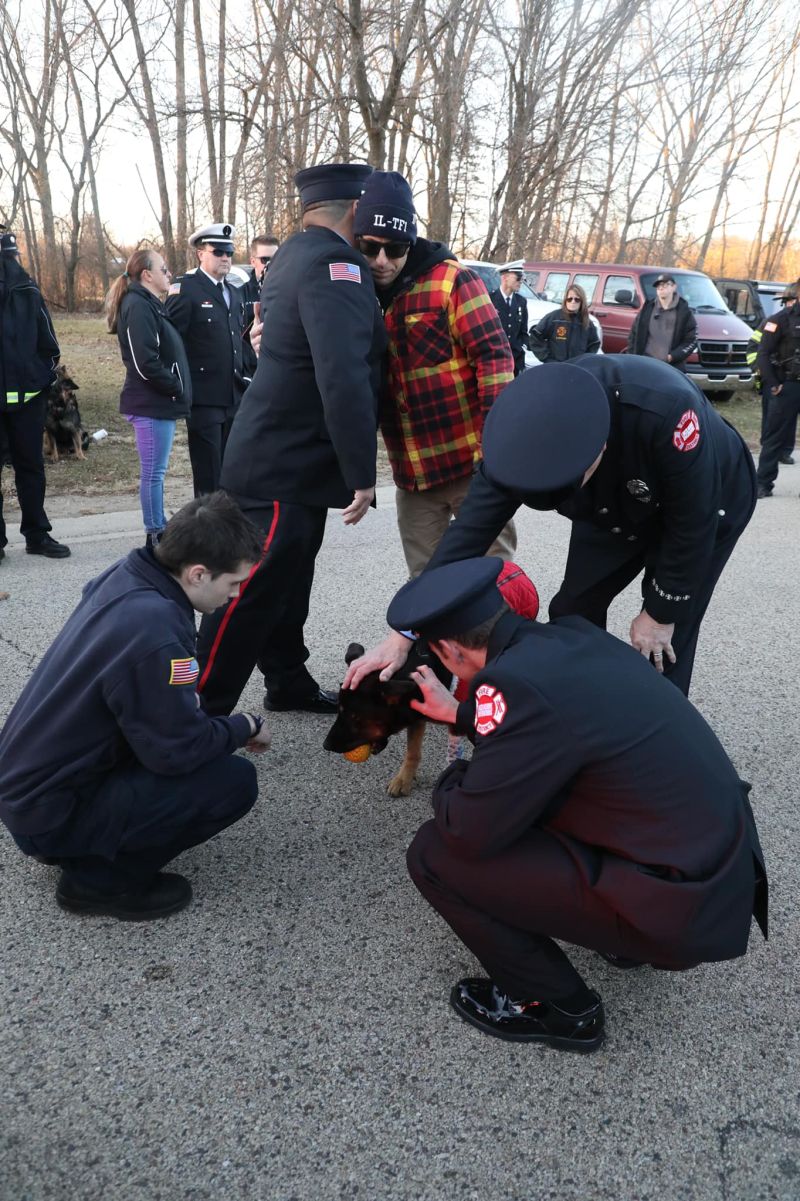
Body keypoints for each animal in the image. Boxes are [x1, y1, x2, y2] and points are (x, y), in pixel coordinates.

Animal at [321, 638, 449, 797]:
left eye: (354, 717)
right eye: (338, 710)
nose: (326, 745)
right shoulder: (416, 715)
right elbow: (412, 752)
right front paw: (403, 779)